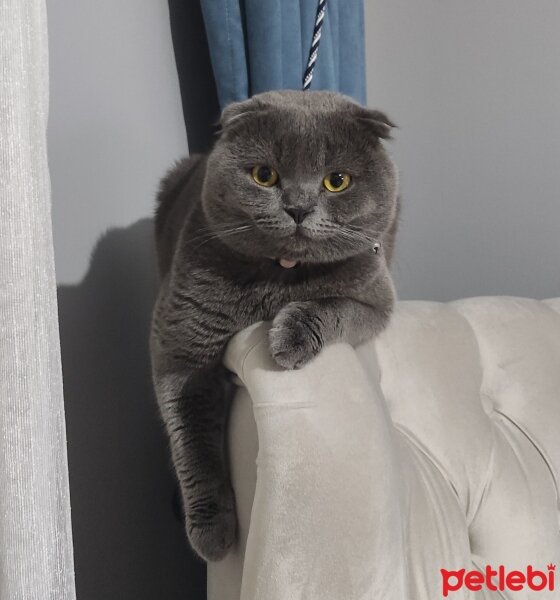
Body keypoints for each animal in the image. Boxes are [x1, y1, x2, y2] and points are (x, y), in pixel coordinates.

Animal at [151, 90, 400, 564]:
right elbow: (191, 438)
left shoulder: (376, 299)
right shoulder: (180, 342)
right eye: (264, 175)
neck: (280, 276)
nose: (298, 208)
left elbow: (333, 306)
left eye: (336, 181)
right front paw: (212, 533)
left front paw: (289, 339)